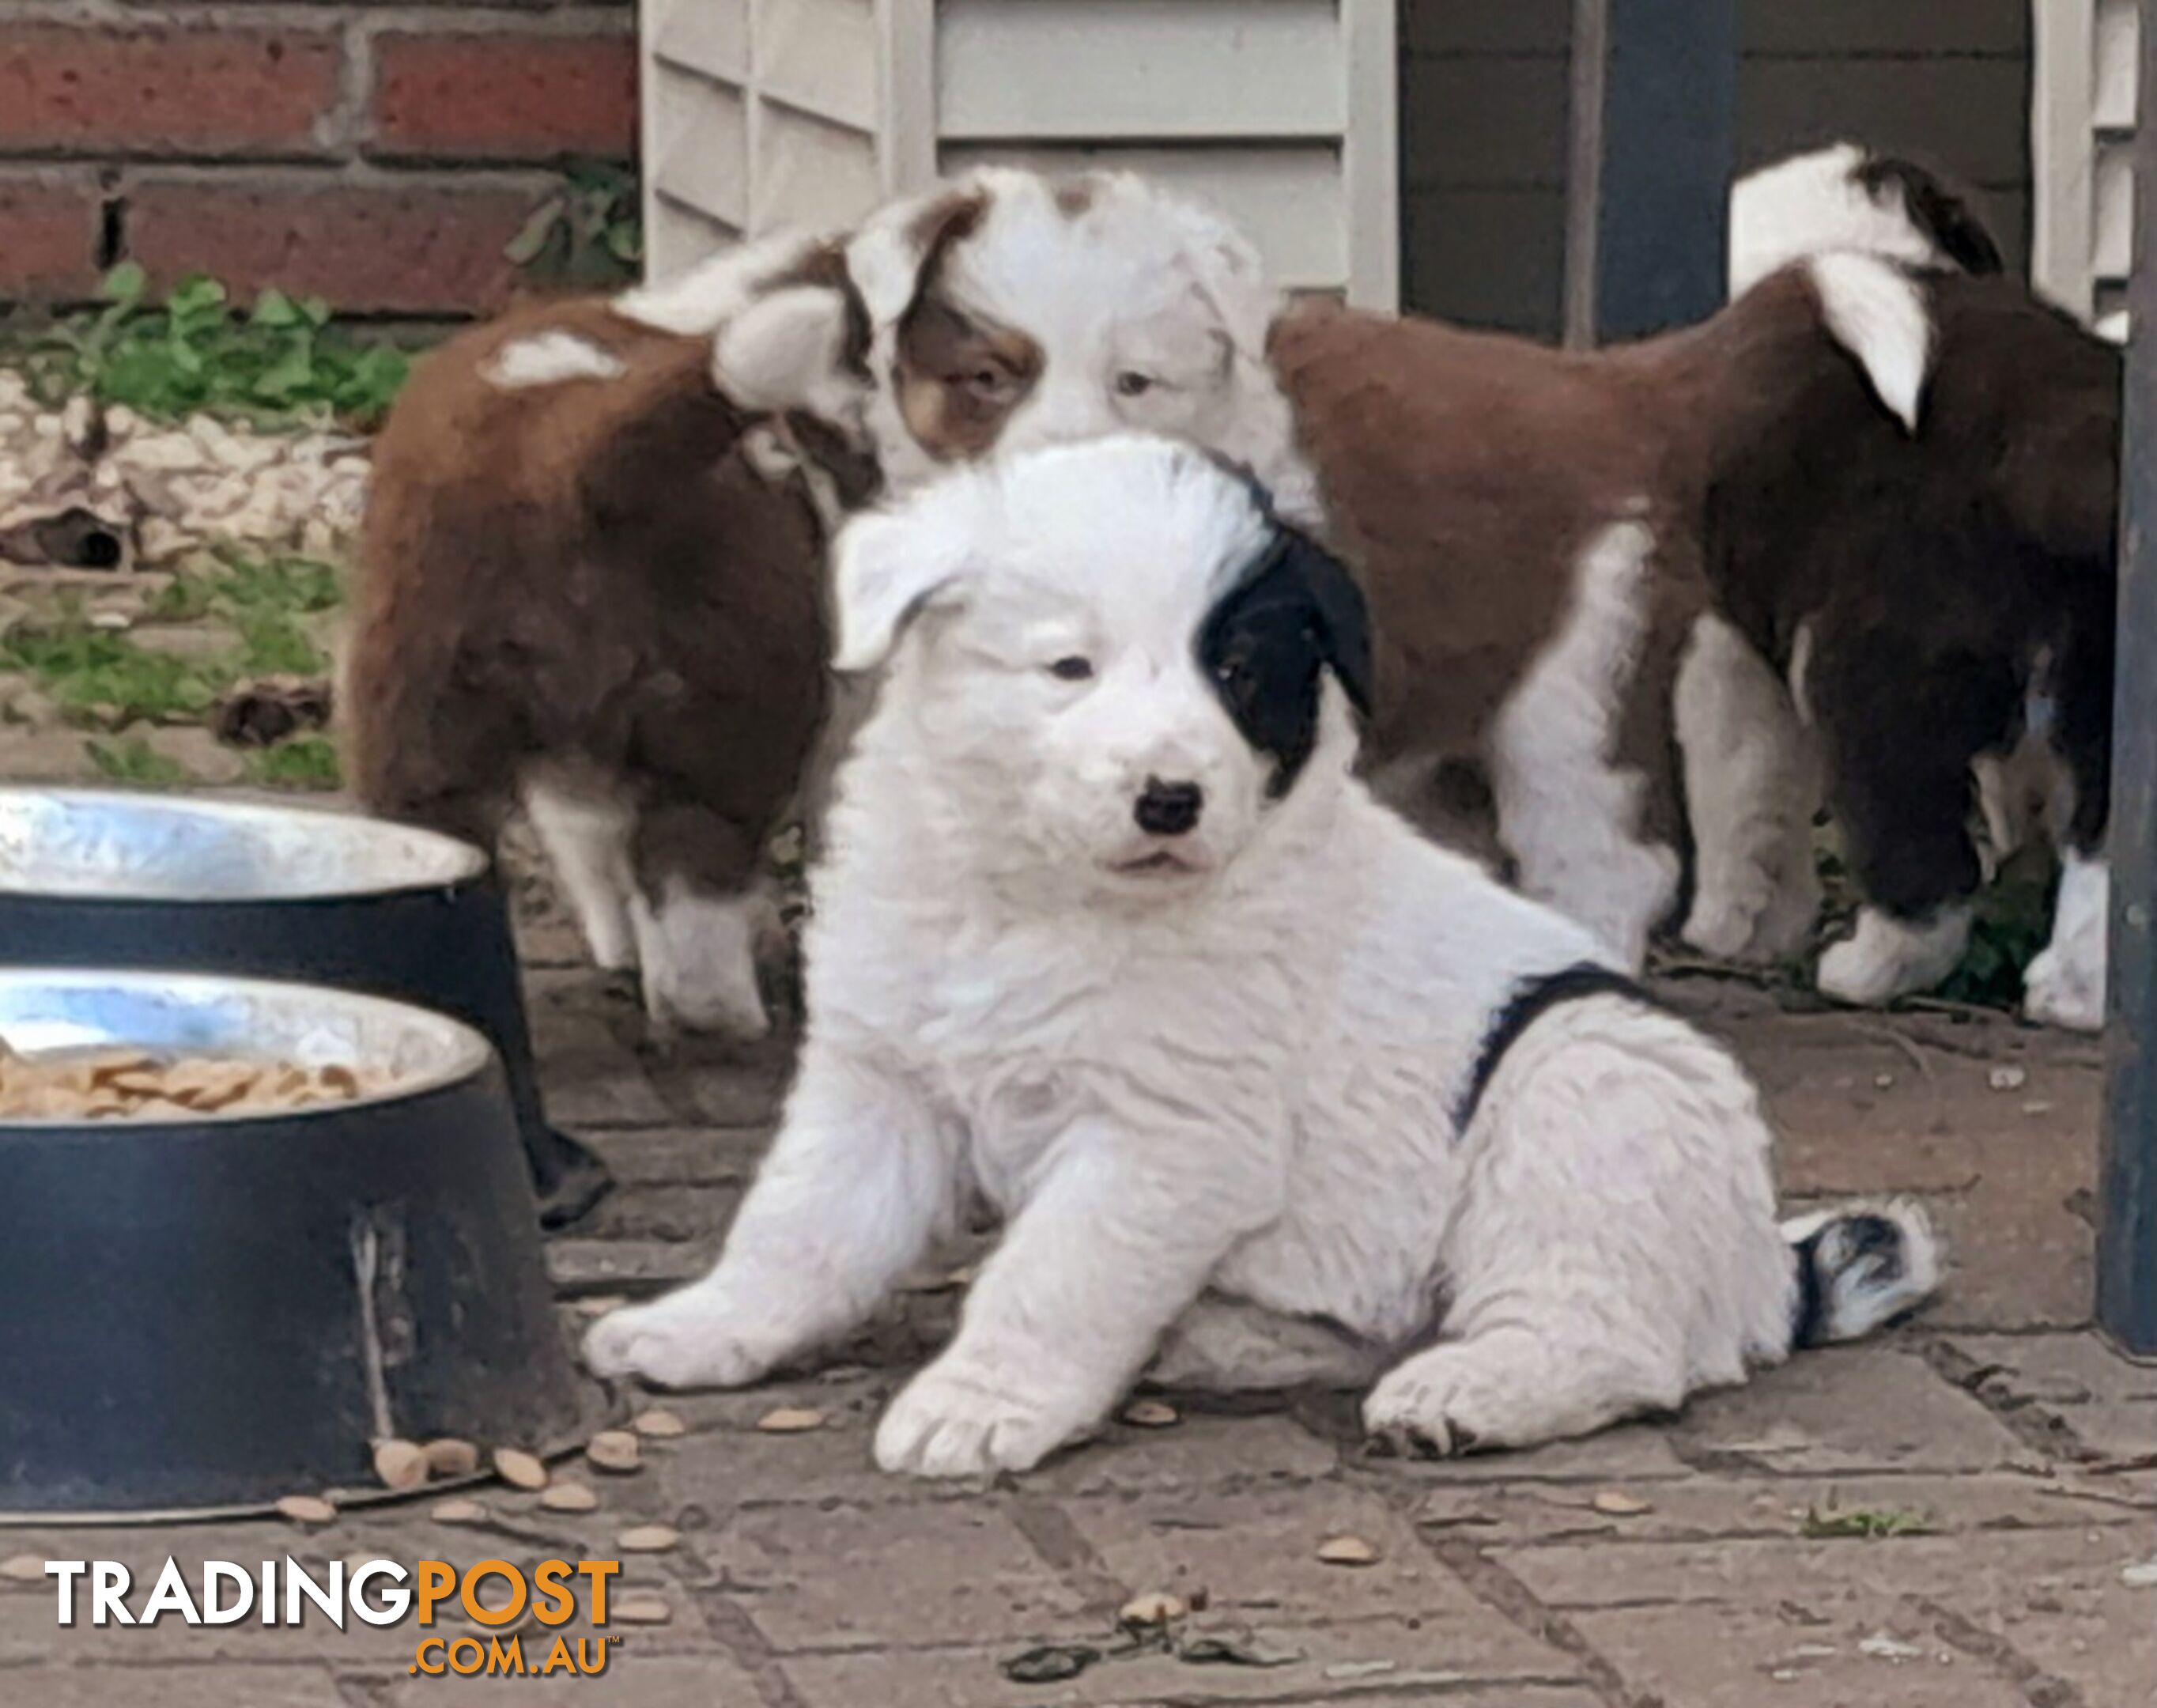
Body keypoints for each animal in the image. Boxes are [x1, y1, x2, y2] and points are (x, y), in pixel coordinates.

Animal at [345, 232, 875, 1035]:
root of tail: (562, 453)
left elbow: (594, 850)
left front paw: (622, 948)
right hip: (731, 726)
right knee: (698, 900)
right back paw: (731, 1019)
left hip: (420, 714)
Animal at [582, 433, 1950, 1475]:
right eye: (1069, 667)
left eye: (1238, 672)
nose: (1171, 800)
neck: (1041, 897)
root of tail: (1762, 1270)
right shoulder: (882, 1082)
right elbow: (799, 1229)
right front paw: (703, 1327)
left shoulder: (1163, 1139)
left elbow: (1050, 1277)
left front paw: (980, 1403)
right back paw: (1220, 1340)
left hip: (1582, 1090)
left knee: (1609, 1338)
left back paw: (1467, 1390)